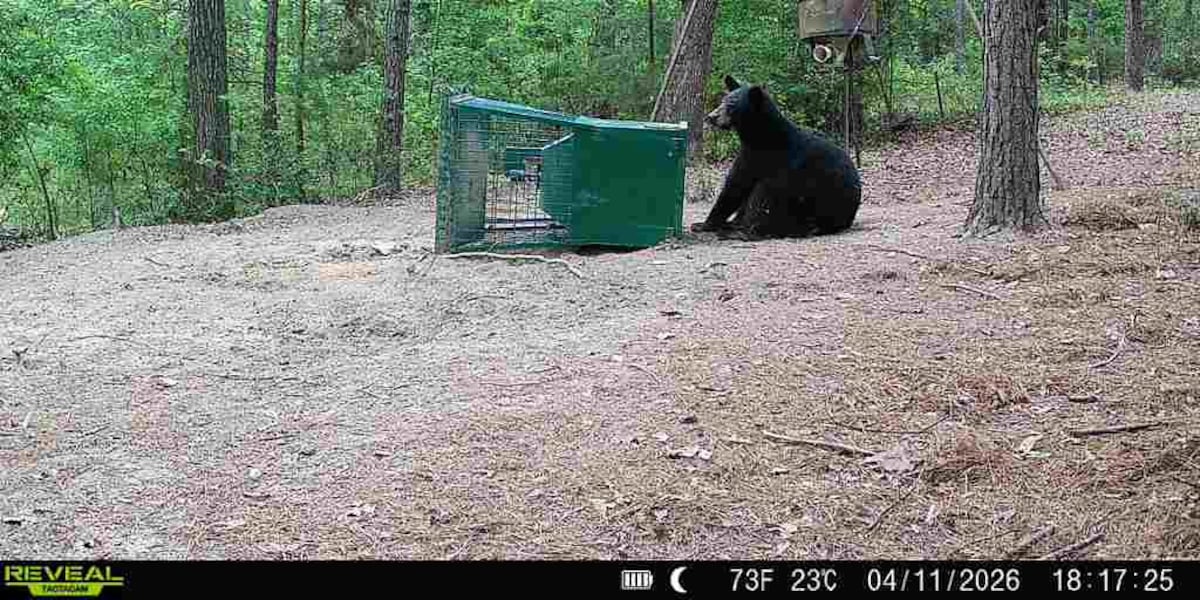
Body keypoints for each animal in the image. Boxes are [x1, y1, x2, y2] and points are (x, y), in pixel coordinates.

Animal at [691, 75, 862, 240]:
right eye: (723, 100)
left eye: (731, 104)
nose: (711, 116)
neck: (764, 139)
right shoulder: (748, 155)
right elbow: (736, 185)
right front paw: (704, 224)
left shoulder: (784, 163)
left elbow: (760, 195)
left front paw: (745, 229)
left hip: (816, 209)